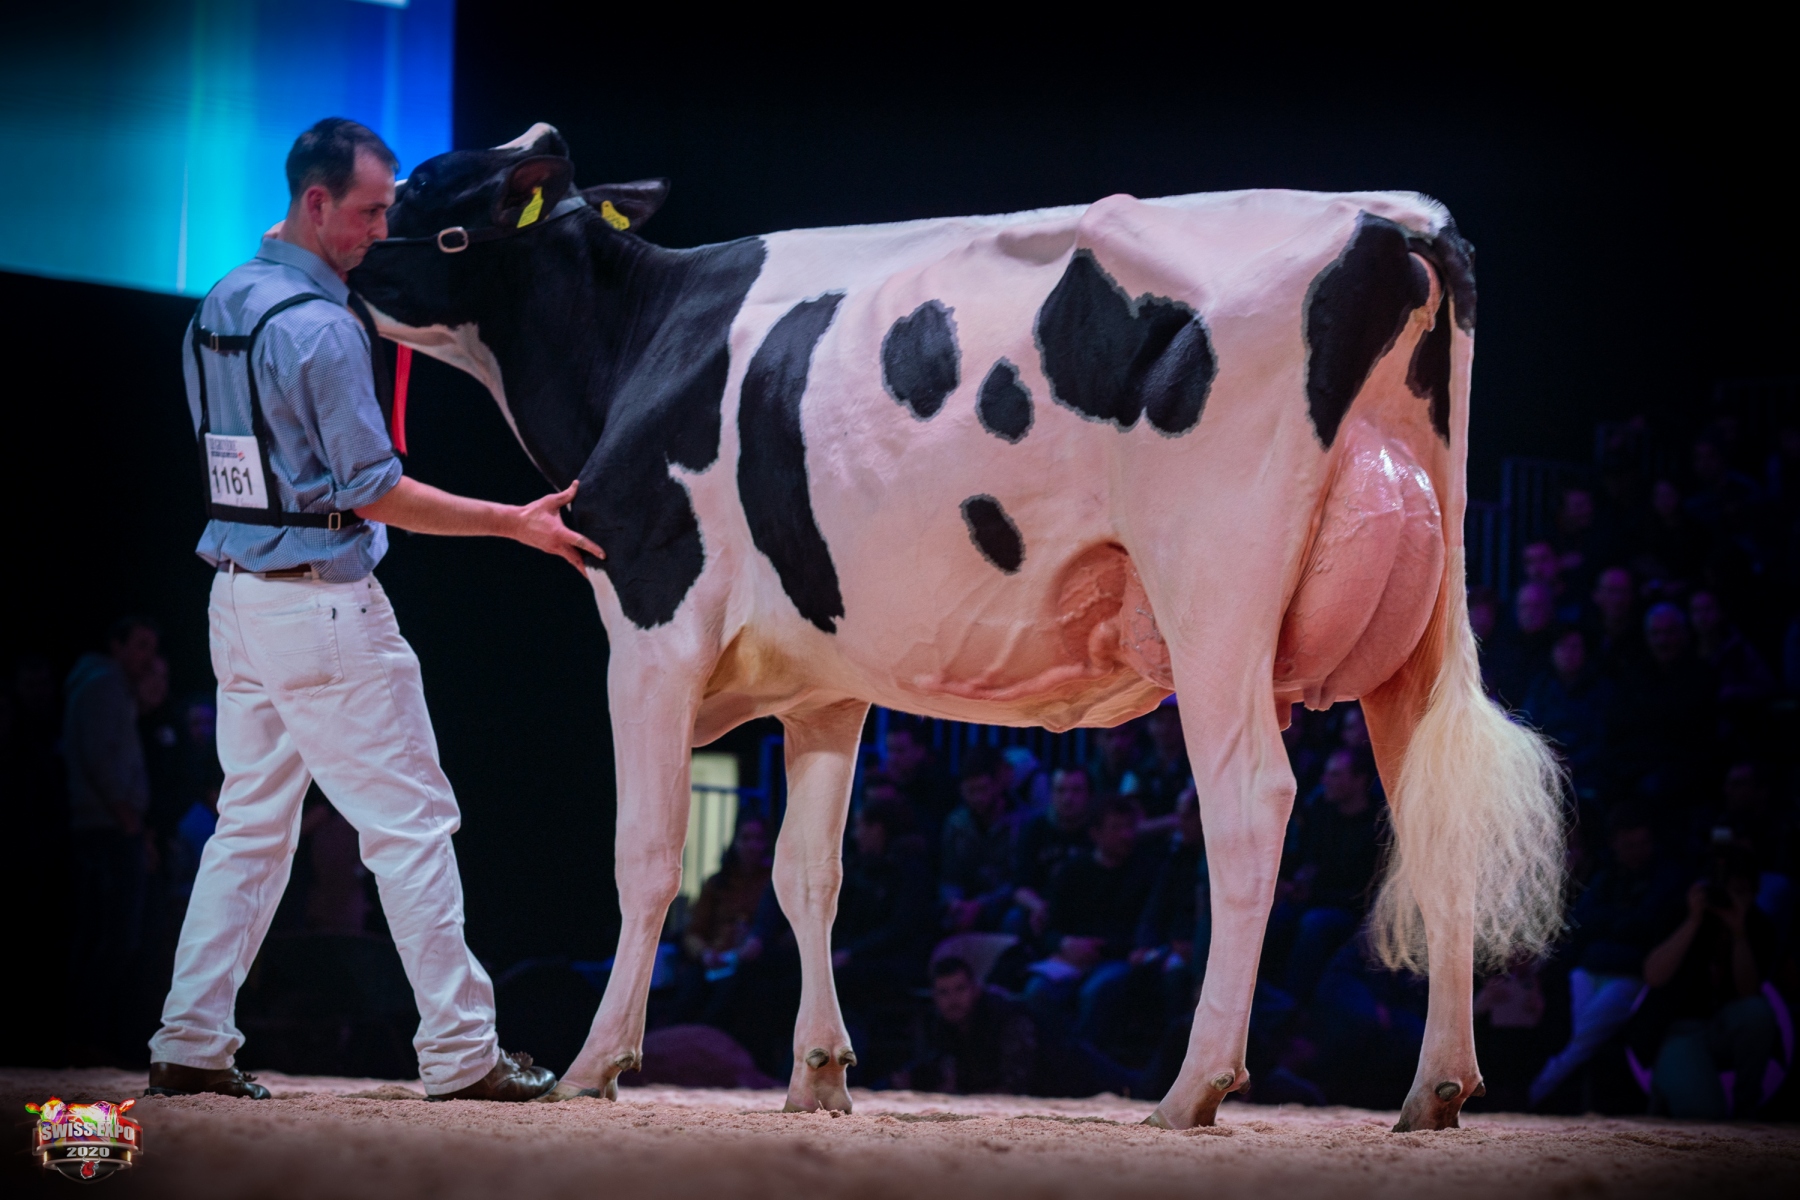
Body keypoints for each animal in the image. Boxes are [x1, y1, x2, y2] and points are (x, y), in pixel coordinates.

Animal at [350, 124, 1564, 1132]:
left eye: (422, 193)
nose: (350, 268)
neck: (636, 345)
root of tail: (1388, 218)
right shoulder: (826, 684)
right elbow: (809, 873)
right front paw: (818, 1073)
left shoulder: (650, 625)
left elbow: (645, 855)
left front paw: (598, 1063)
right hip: (1425, 622)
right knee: (1437, 808)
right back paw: (1436, 1088)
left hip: (1214, 590)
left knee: (1251, 804)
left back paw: (1193, 1086)